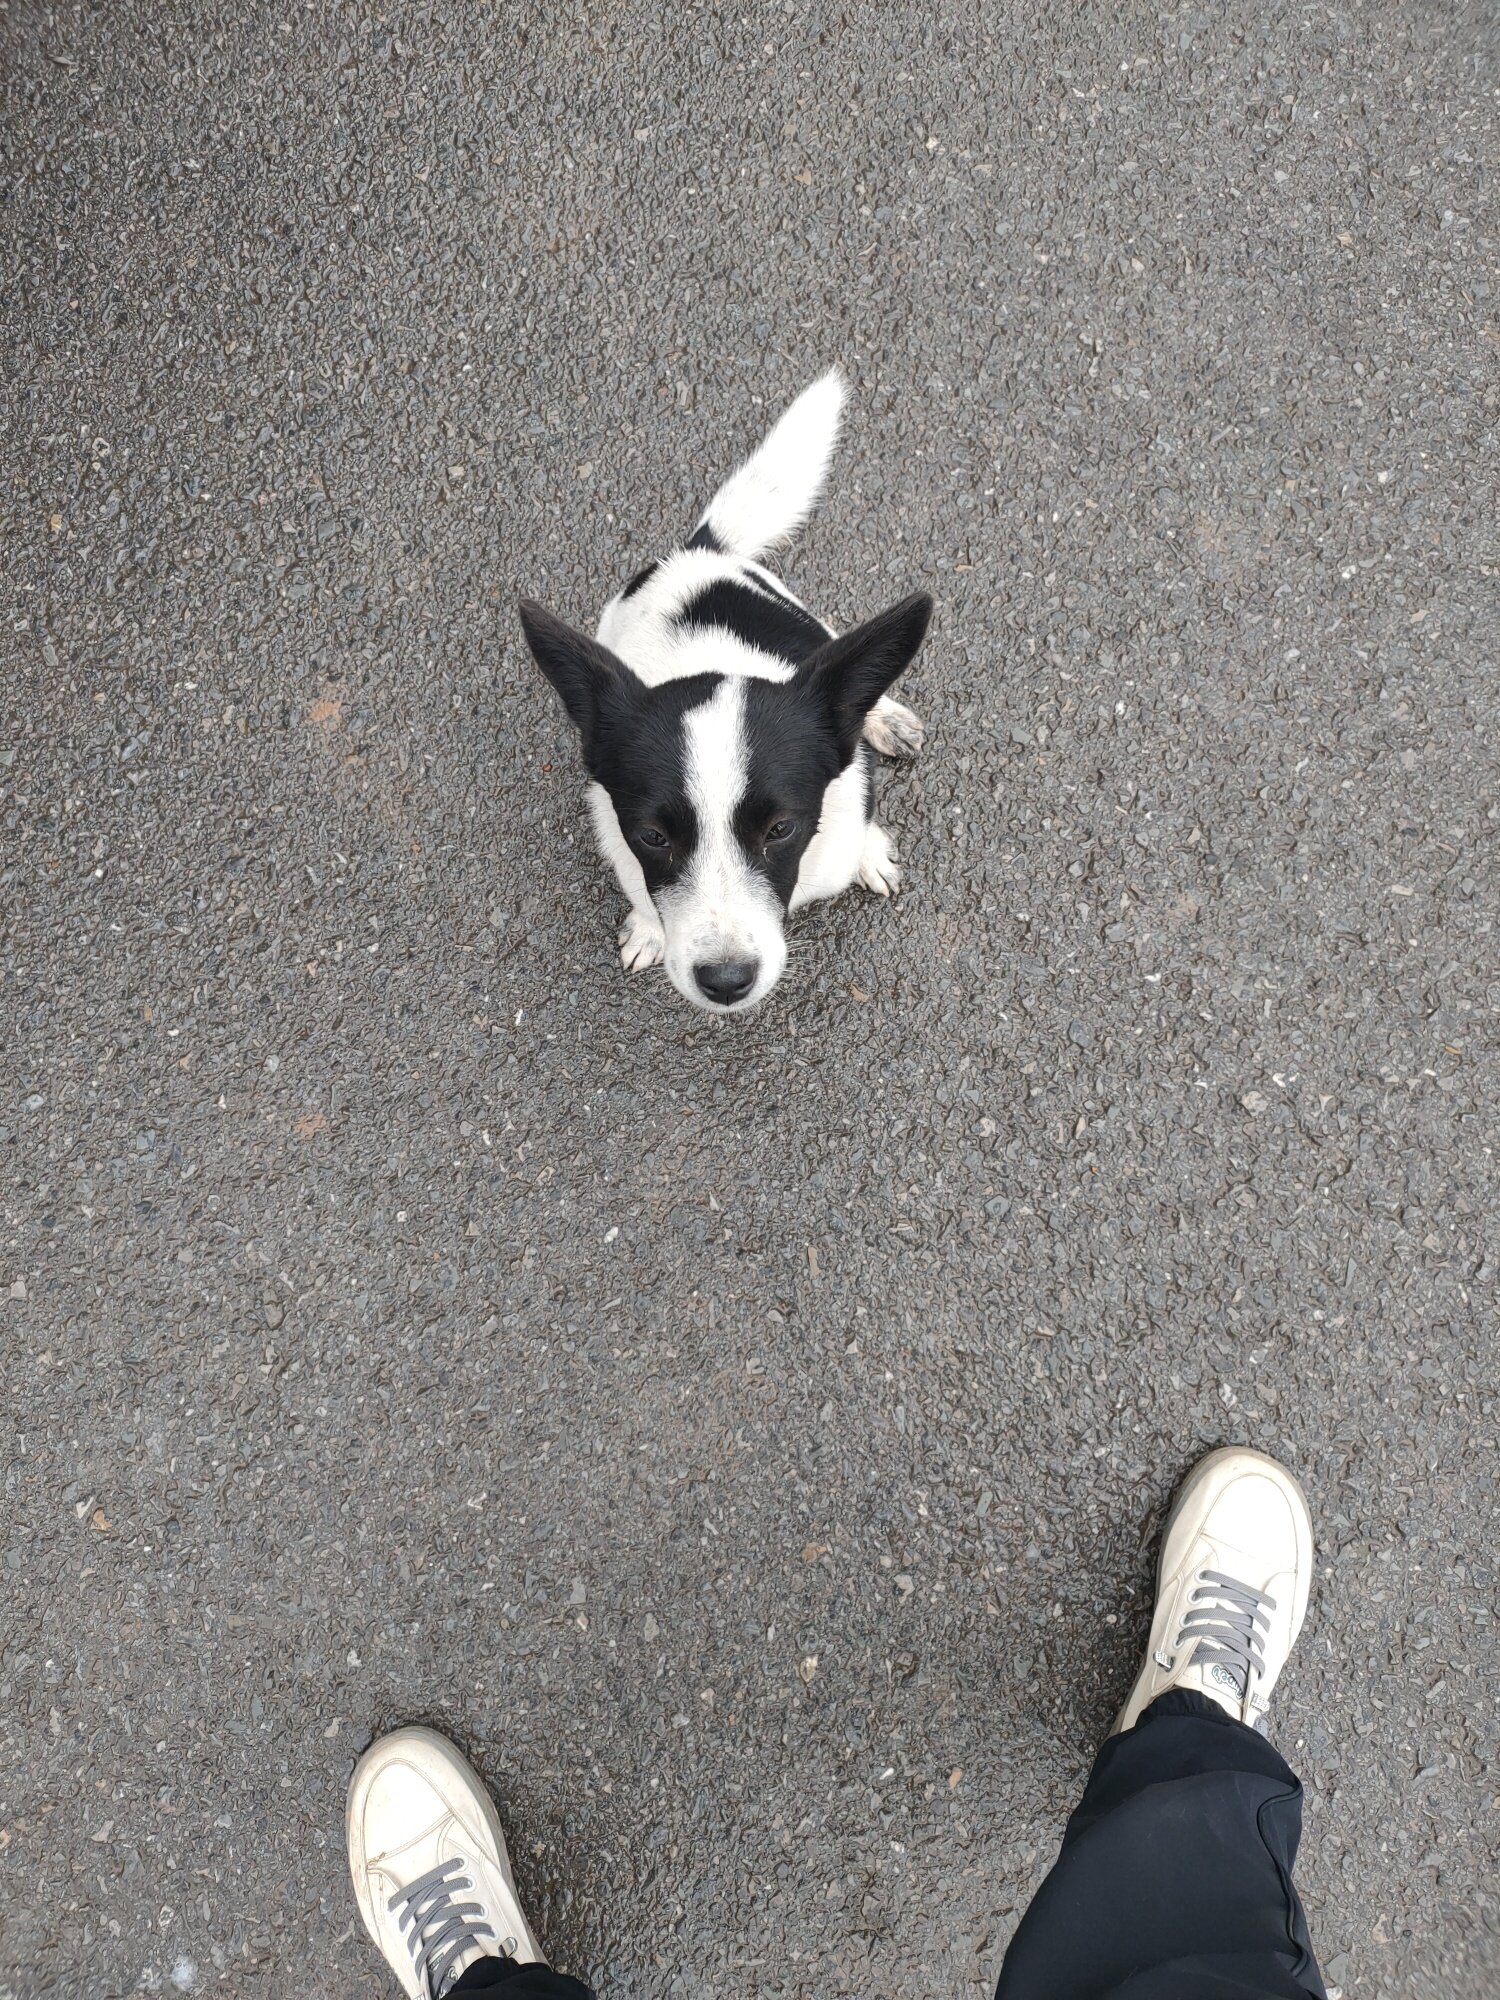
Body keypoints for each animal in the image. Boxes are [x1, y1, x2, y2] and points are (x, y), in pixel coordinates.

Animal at [518, 370, 932, 1013]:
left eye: (781, 829)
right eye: (653, 836)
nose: (727, 982)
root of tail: (699, 552)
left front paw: (869, 845)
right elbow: (646, 901)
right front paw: (649, 929)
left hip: (817, 628)